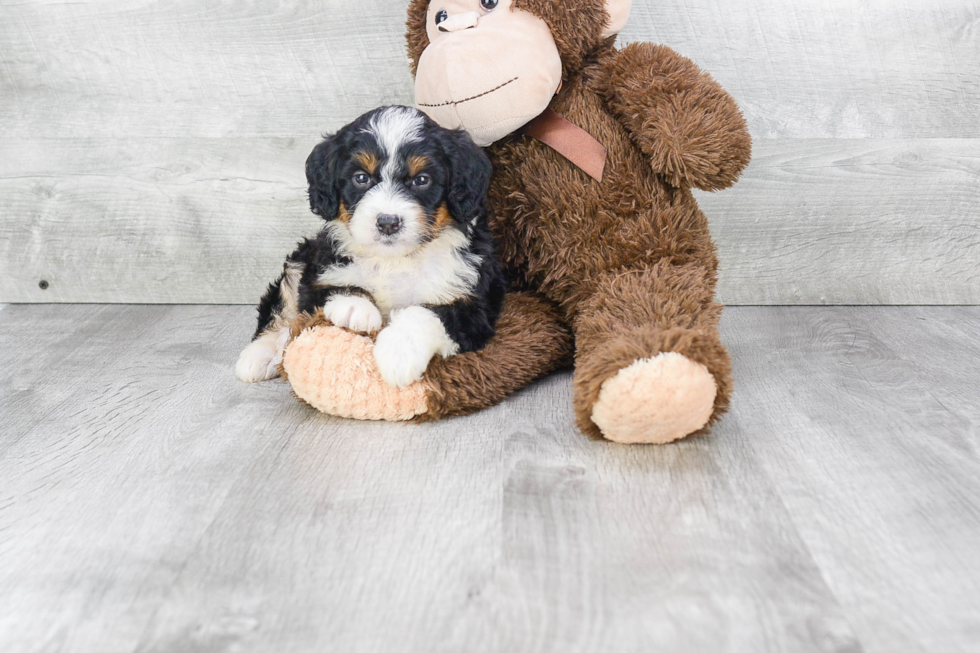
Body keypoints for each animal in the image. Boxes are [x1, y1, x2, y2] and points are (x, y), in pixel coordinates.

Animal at [236, 105, 506, 388]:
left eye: (421, 180)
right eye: (361, 178)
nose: (388, 222)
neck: (394, 260)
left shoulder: (472, 304)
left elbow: (425, 314)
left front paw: (398, 353)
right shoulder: (319, 272)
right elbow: (333, 287)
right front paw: (355, 307)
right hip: (302, 258)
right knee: (281, 307)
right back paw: (259, 356)